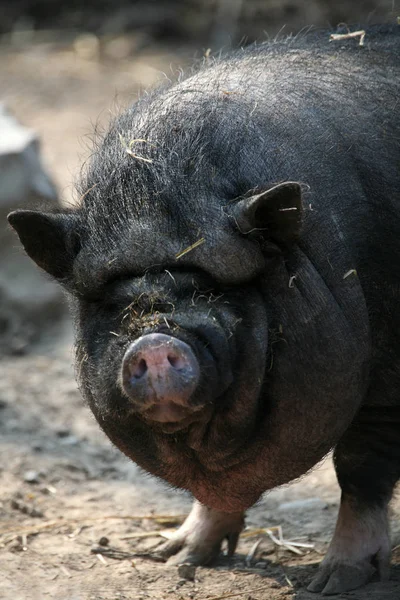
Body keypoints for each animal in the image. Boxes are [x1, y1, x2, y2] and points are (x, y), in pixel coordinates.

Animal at [8, 24, 400, 596]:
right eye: (115, 304)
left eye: (212, 292)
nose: (153, 341)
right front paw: (175, 557)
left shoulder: (386, 381)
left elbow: (360, 467)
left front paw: (333, 581)